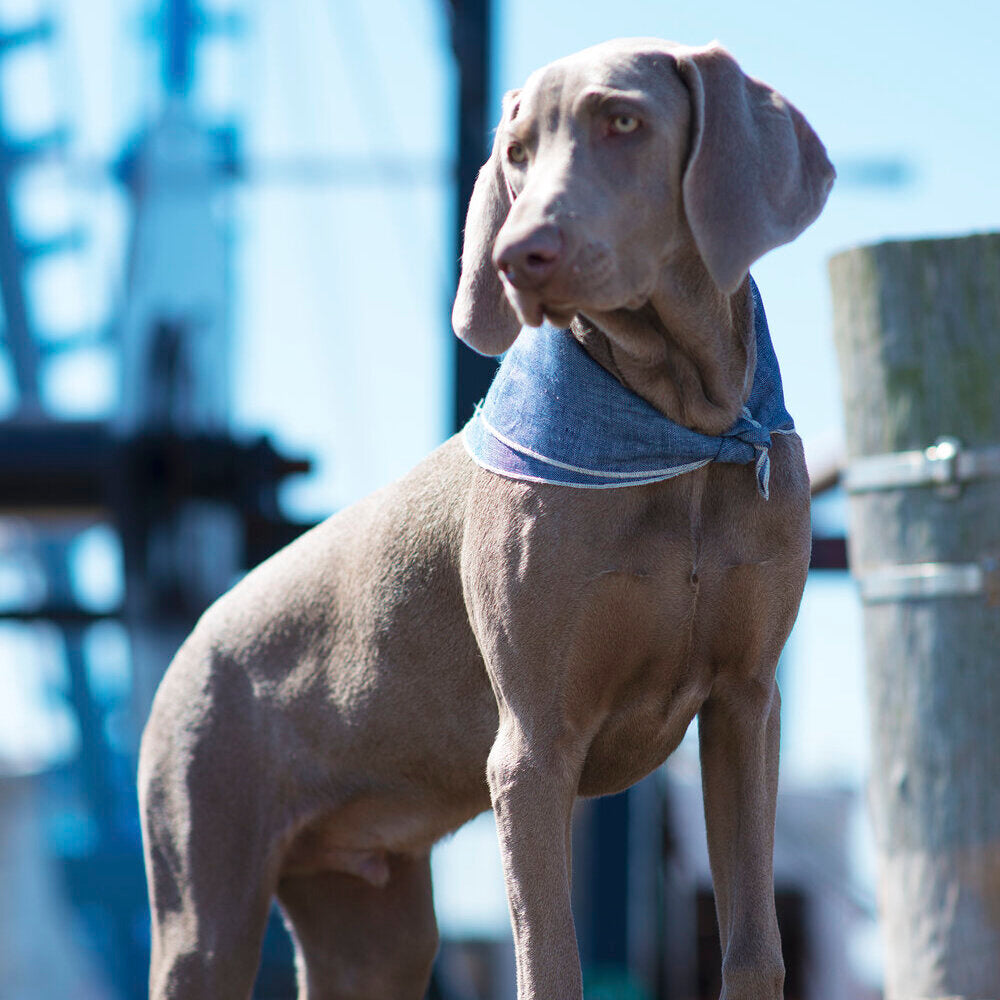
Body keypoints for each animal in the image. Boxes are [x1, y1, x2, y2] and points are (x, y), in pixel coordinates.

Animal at [137, 37, 832, 1000]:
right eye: (516, 152)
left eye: (623, 121)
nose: (518, 253)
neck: (672, 431)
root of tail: (195, 638)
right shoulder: (533, 747)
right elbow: (551, 960)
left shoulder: (745, 703)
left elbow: (755, 946)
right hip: (205, 899)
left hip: (374, 930)